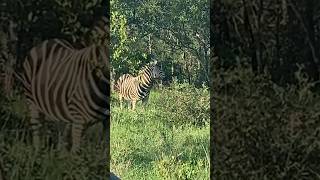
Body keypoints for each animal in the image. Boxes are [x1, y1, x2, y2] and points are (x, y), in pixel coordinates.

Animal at [20, 13, 110, 153]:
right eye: (102, 46)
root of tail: (48, 41)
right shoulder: (79, 119)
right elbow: (76, 151)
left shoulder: (107, 122)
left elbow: (104, 147)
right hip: (31, 99)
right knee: (36, 126)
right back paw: (38, 151)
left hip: (58, 104)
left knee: (60, 130)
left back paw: (59, 152)